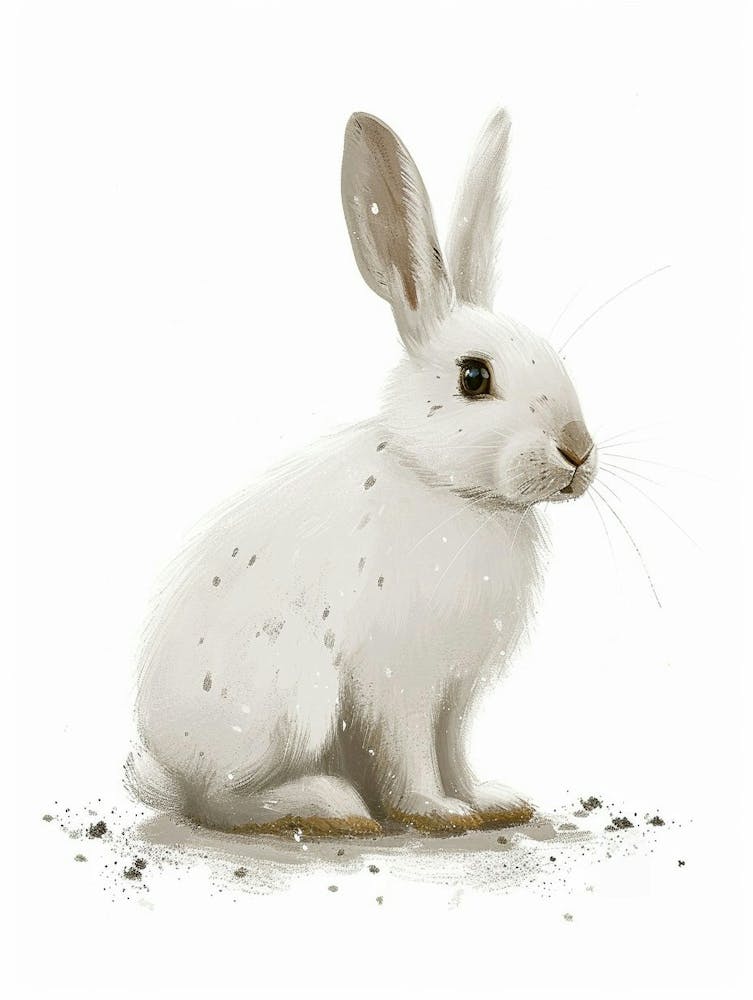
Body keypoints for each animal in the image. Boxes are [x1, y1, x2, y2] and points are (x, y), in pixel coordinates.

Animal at [126, 109, 598, 836]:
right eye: (474, 377)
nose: (577, 450)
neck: (455, 491)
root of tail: (167, 764)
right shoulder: (400, 681)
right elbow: (412, 754)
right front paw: (437, 812)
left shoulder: (456, 693)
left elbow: (454, 749)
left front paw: (491, 800)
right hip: (296, 694)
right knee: (221, 800)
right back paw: (333, 807)